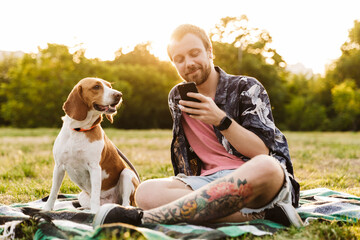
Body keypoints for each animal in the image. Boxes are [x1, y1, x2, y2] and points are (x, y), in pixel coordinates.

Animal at [44, 77, 140, 212]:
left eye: (109, 86)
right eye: (96, 87)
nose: (119, 94)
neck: (79, 130)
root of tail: (111, 202)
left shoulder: (94, 168)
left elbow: (95, 196)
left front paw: (94, 213)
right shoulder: (58, 166)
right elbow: (53, 192)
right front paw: (47, 209)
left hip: (127, 174)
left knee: (125, 202)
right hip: (82, 195)